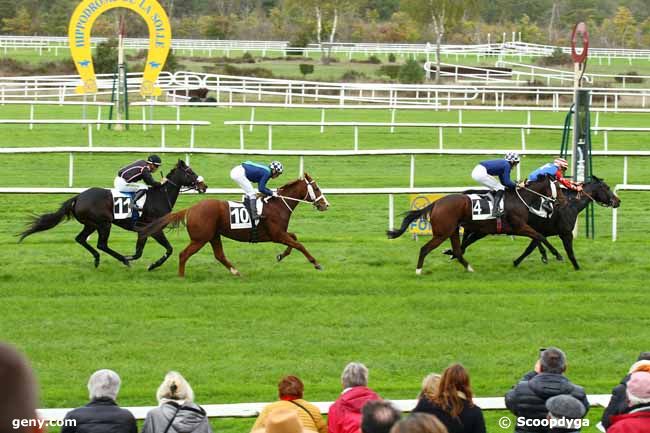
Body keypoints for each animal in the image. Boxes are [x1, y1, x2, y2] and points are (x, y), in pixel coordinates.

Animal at [18, 159, 205, 268]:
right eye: (190, 172)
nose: (204, 186)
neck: (160, 195)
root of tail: (78, 197)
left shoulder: (143, 230)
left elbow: (140, 251)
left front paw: (136, 259)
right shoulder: (154, 229)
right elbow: (169, 249)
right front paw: (151, 264)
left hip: (91, 224)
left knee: (81, 239)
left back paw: (97, 259)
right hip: (103, 223)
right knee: (101, 244)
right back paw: (121, 259)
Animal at [139, 171, 326, 276]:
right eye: (316, 189)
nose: (325, 204)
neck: (278, 204)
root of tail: (190, 208)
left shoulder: (279, 234)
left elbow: (294, 238)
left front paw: (281, 255)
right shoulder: (277, 234)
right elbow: (299, 244)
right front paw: (316, 263)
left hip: (213, 235)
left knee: (219, 255)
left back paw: (236, 272)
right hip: (200, 238)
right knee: (183, 255)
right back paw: (181, 277)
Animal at [384, 176, 560, 274]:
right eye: (558, 187)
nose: (557, 203)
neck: (519, 199)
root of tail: (436, 204)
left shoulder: (502, 229)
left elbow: (538, 237)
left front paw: (546, 255)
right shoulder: (518, 227)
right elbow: (540, 236)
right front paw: (556, 255)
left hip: (453, 231)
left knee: (458, 250)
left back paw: (469, 268)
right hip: (442, 233)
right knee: (425, 249)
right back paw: (418, 270)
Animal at [446, 177, 616, 268]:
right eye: (607, 188)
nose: (618, 201)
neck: (570, 204)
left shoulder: (540, 231)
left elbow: (532, 246)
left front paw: (519, 261)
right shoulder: (565, 233)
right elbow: (569, 252)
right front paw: (575, 266)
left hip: (483, 229)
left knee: (467, 241)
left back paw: (452, 252)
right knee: (466, 241)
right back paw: (453, 253)